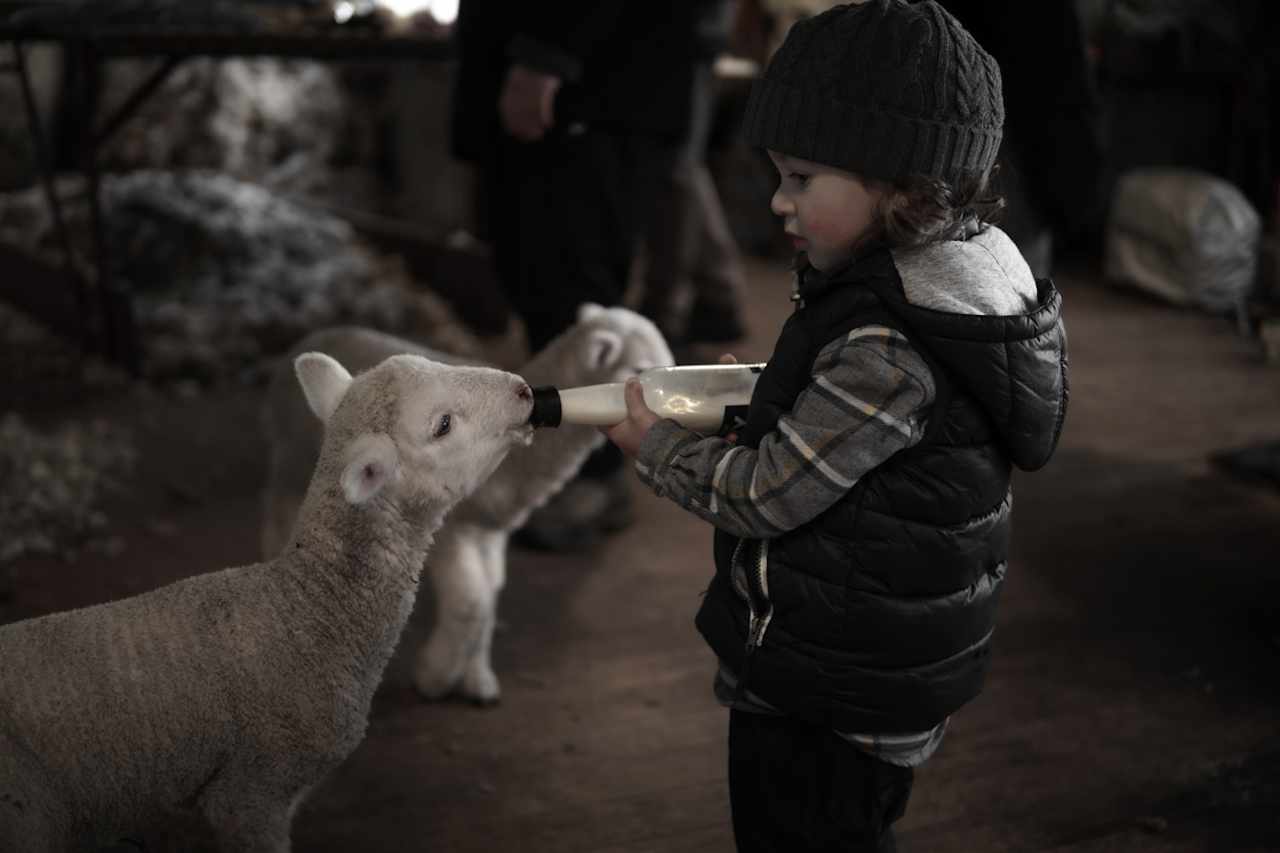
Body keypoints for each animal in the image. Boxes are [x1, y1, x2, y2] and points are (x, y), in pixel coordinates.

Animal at [262, 302, 680, 701]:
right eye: (639, 369)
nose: (525, 392)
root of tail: (309, 338)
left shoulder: (489, 534)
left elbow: (490, 597)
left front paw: (477, 678)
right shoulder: (453, 530)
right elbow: (471, 603)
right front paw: (436, 675)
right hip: (286, 469)